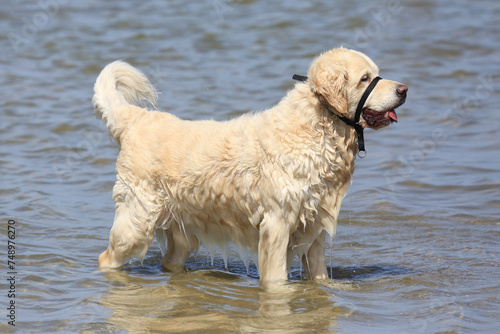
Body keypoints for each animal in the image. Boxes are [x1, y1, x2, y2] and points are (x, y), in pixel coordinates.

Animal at [93, 47, 406, 282]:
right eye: (365, 78)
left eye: (375, 74)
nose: (404, 89)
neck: (317, 127)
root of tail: (136, 118)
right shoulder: (277, 224)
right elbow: (277, 279)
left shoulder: (313, 226)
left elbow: (319, 277)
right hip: (135, 223)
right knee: (106, 257)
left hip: (183, 229)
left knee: (171, 259)